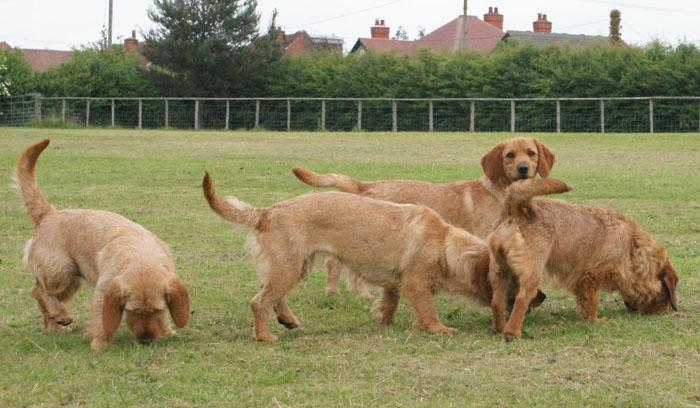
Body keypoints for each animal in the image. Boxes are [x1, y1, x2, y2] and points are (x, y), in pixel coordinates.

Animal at [15, 139, 191, 348]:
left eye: (157, 310)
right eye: (131, 311)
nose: (146, 340)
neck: (142, 256)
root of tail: (49, 213)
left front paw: (165, 330)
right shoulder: (104, 291)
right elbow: (100, 317)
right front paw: (100, 343)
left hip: (72, 281)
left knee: (42, 297)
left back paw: (55, 325)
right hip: (60, 272)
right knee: (39, 291)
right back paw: (61, 314)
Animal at [202, 171, 548, 340]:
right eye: (515, 276)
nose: (542, 297)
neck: (442, 242)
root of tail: (266, 212)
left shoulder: (395, 283)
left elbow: (389, 302)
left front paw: (384, 319)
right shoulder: (416, 284)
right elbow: (428, 311)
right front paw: (439, 329)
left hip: (294, 266)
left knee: (270, 295)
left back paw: (287, 319)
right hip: (288, 267)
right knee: (259, 301)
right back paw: (265, 337)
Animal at [292, 137, 556, 300]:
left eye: (531, 153)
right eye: (509, 155)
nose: (523, 168)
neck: (501, 191)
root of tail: (365, 185)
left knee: (334, 263)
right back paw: (353, 293)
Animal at [486, 178, 680, 342]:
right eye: (666, 294)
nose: (667, 311)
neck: (631, 244)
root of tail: (517, 207)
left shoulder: (581, 278)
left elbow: (583, 300)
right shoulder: (593, 273)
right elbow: (592, 300)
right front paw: (595, 320)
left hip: (499, 271)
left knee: (497, 301)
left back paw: (498, 328)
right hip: (532, 272)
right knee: (521, 299)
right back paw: (512, 333)